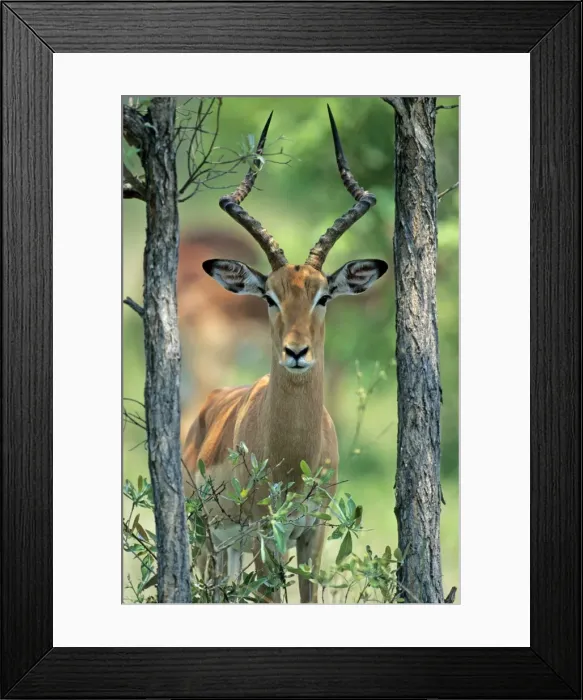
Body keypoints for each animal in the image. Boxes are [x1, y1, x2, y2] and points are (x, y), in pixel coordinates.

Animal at [182, 107, 388, 602]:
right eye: (269, 296)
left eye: (324, 296)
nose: (297, 351)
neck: (292, 456)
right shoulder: (265, 533)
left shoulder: (312, 534)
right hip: (206, 540)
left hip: (230, 550)